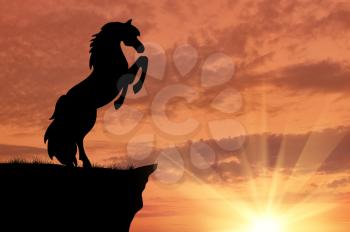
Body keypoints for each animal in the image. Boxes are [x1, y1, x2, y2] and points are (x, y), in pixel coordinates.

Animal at [44, 19, 148, 167]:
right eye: (131, 34)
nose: (141, 47)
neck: (108, 61)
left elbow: (142, 62)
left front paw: (121, 100)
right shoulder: (120, 76)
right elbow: (142, 61)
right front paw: (129, 93)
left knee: (74, 137)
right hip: (87, 117)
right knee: (77, 136)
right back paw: (85, 162)